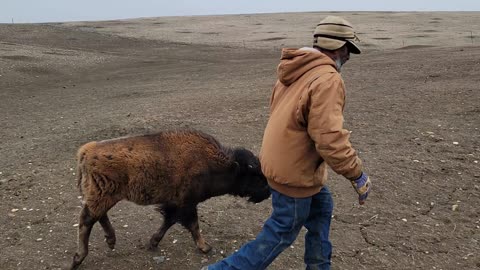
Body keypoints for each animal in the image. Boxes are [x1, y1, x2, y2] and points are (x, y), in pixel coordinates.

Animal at [70, 130, 270, 268]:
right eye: (255, 176)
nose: (268, 192)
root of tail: (86, 151)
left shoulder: (175, 204)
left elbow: (168, 222)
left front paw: (153, 242)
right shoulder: (187, 204)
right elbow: (193, 225)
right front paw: (205, 247)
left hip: (104, 197)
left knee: (97, 216)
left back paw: (110, 241)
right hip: (104, 195)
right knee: (87, 220)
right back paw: (79, 258)